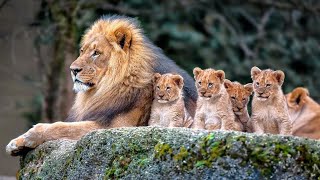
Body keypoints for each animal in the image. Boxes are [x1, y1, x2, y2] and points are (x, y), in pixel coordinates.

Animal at [6, 15, 198, 156]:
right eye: (82, 51)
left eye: (96, 53)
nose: (73, 70)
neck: (106, 88)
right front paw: (16, 143)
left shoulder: (115, 128)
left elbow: (63, 127)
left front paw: (32, 134)